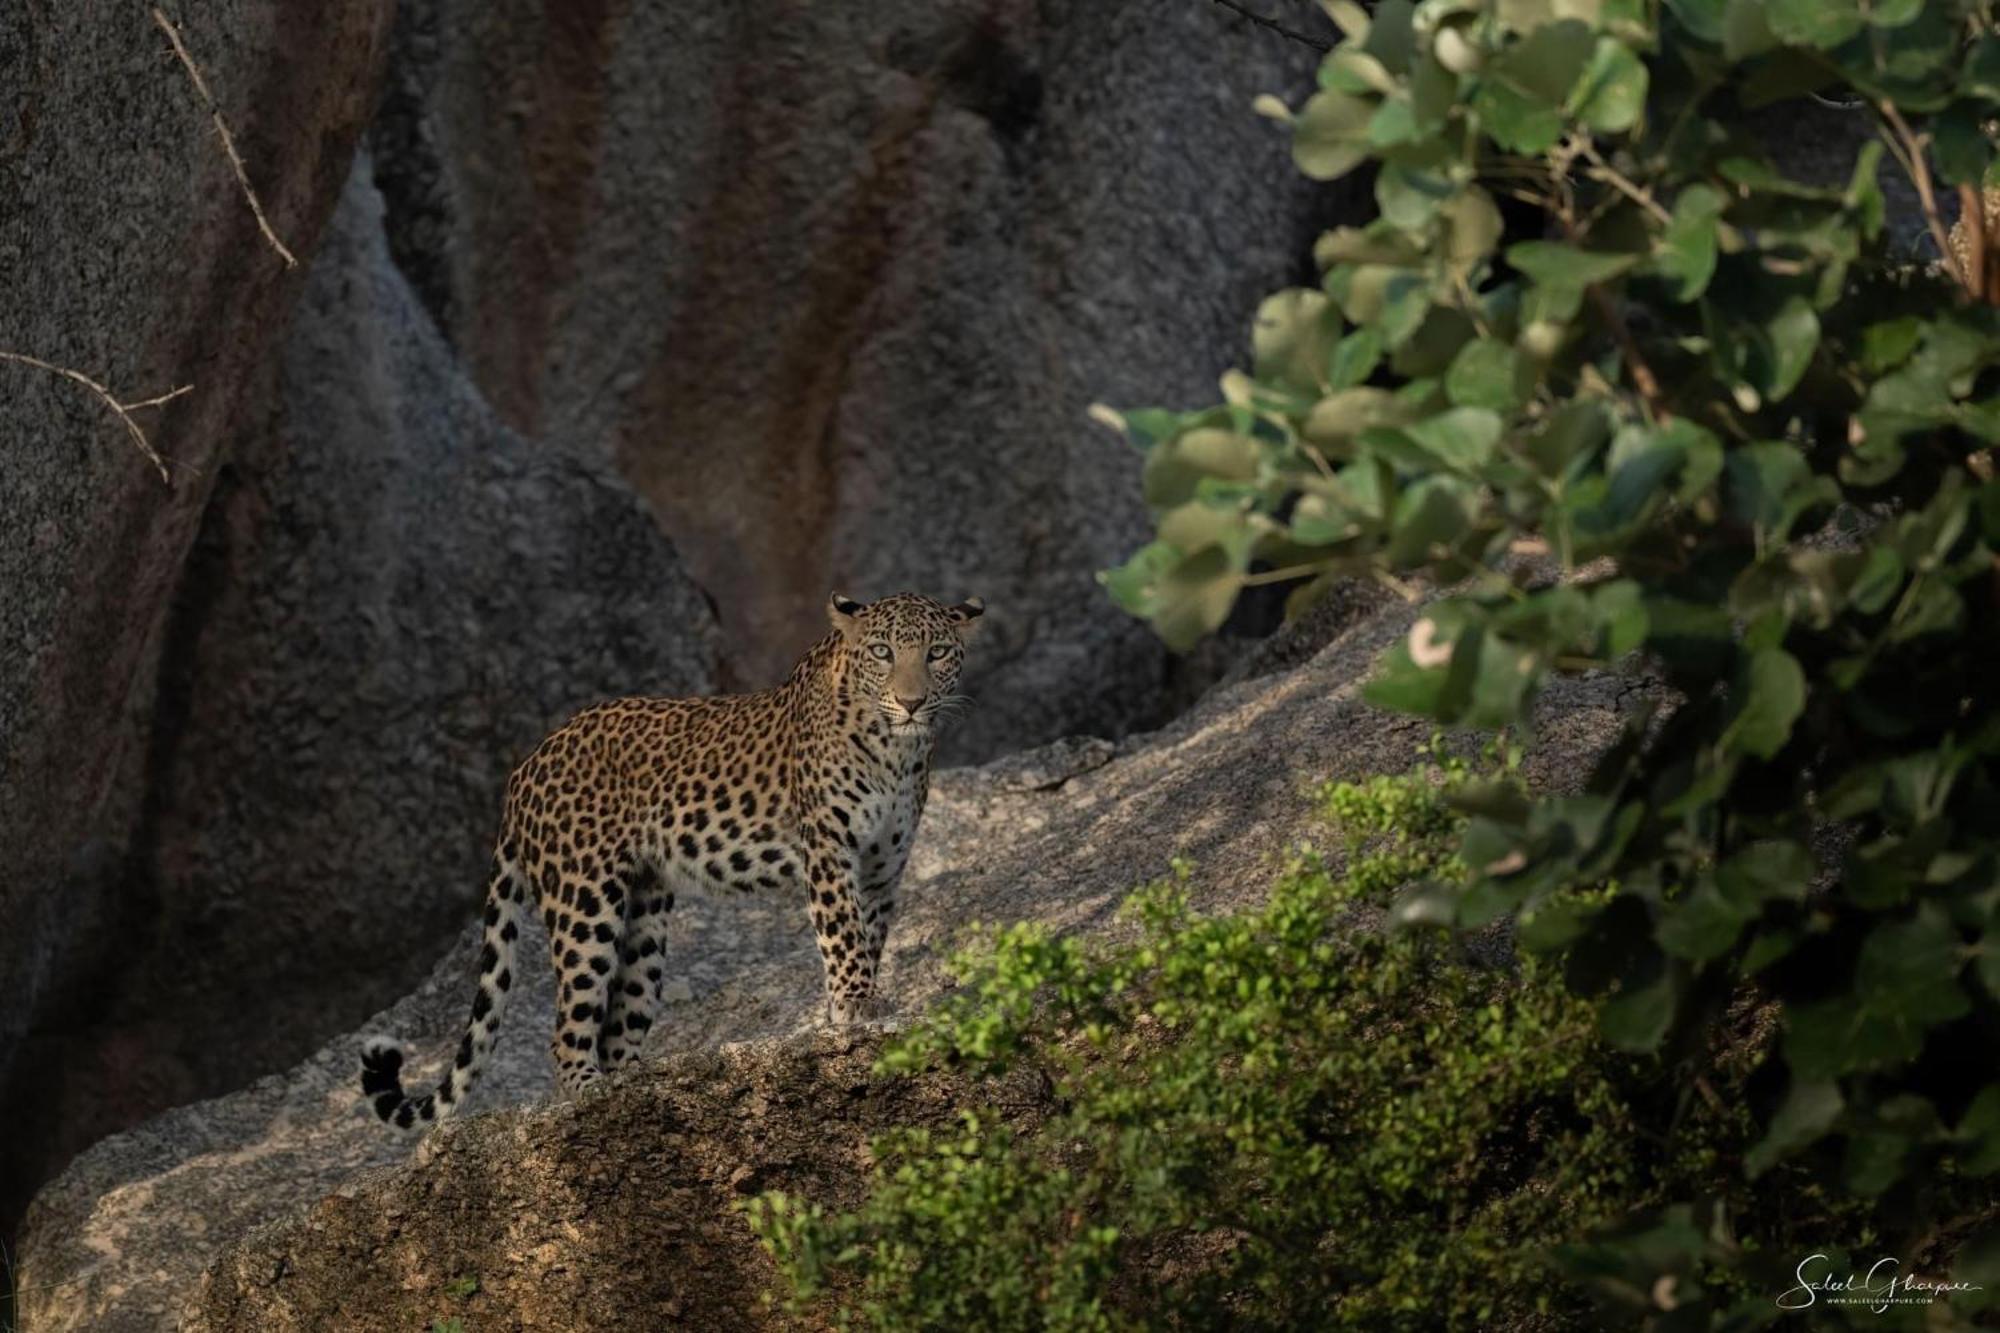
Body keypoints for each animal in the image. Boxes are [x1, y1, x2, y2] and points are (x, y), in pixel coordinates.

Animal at [364, 588, 988, 1120]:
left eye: (936, 654)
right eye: (883, 653)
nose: (911, 702)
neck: (895, 751)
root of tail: (525, 767)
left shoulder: (884, 868)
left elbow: (870, 937)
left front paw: (853, 1010)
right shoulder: (829, 850)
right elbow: (843, 936)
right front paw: (855, 1005)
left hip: (644, 918)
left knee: (618, 1026)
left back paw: (635, 1086)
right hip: (584, 903)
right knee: (566, 1032)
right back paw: (588, 1094)